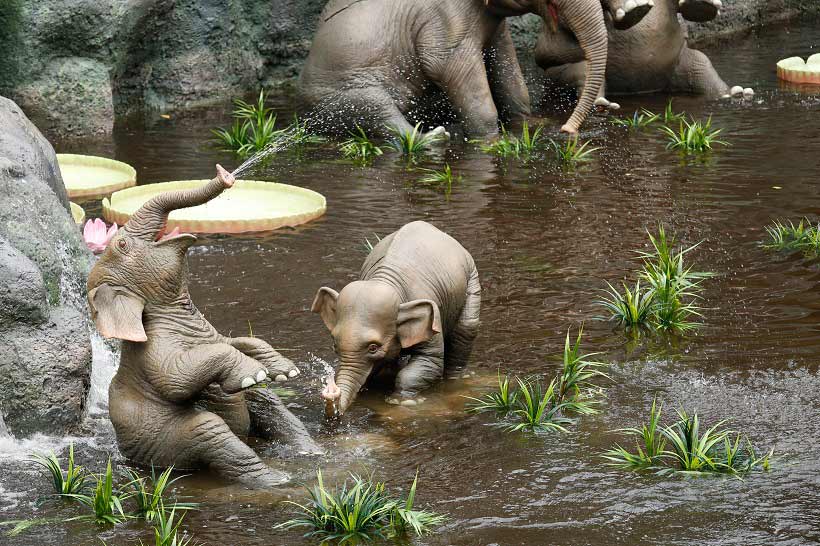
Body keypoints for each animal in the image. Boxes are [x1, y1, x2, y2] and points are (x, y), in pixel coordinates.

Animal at [88, 164, 320, 486]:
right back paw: (279, 479)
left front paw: (285, 371)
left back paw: (311, 451)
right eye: (122, 244)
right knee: (211, 428)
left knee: (267, 400)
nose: (226, 175)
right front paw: (255, 373)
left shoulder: (212, 332)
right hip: (167, 439)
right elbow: (175, 379)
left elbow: (235, 341)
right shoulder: (155, 346)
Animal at [298, 0, 652, 138]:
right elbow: (446, 64)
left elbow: (505, 62)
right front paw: (491, 137)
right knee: (374, 107)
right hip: (336, 95)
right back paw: (432, 138)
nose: (566, 130)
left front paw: (531, 124)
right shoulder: (442, 19)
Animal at [312, 219, 480, 414]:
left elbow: (430, 361)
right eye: (334, 344)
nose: (331, 392)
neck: (386, 280)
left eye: (373, 348)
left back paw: (458, 378)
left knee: (467, 328)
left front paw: (402, 402)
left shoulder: (433, 312)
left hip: (472, 279)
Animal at [532, 0, 756, 99]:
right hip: (558, 70)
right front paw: (633, 11)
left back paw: (735, 93)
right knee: (583, 72)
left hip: (680, 62)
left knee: (701, 65)